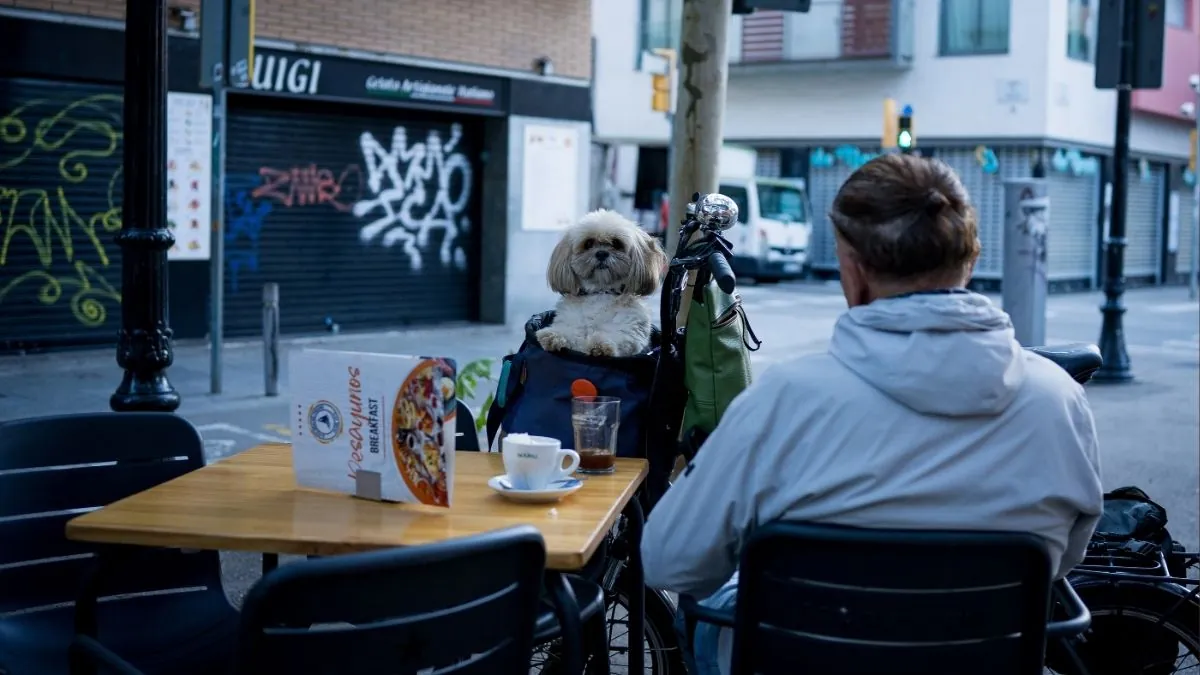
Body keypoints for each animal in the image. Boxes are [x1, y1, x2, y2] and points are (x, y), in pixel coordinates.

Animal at [540, 208, 672, 357]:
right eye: (588, 243)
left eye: (616, 243)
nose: (601, 253)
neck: (601, 291)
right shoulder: (573, 323)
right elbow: (571, 332)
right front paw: (555, 335)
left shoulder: (630, 331)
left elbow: (618, 336)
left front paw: (601, 345)